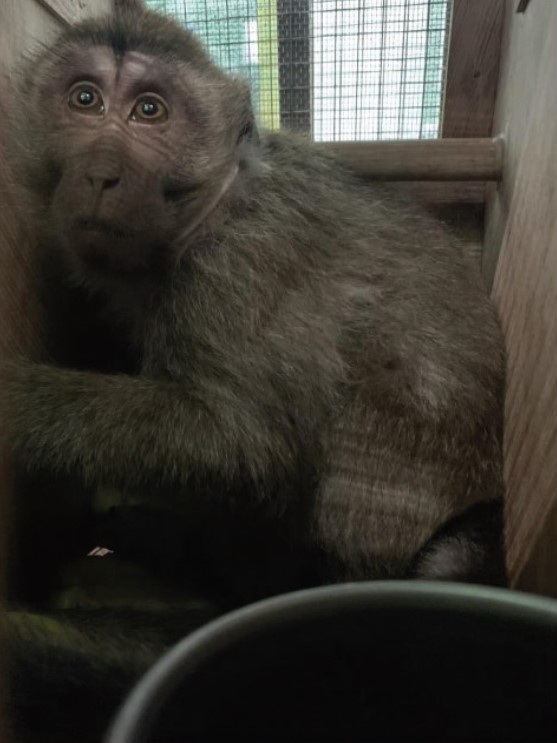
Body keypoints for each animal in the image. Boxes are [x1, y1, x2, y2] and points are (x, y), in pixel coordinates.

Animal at [0, 0, 506, 740]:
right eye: (85, 99)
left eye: (149, 111)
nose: (100, 172)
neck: (209, 204)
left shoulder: (240, 264)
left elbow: (245, 449)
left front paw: (13, 401)